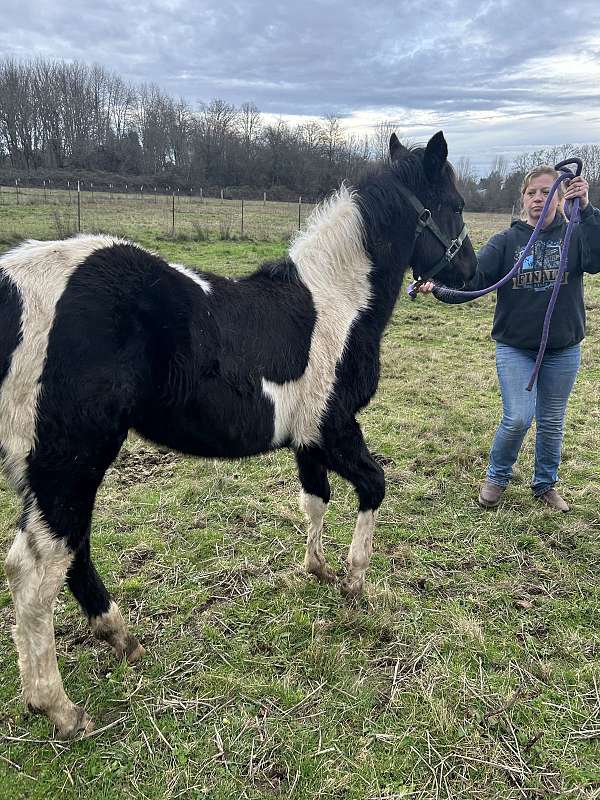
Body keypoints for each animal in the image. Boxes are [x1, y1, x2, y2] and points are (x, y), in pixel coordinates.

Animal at [0, 131, 476, 737]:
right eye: (454, 205)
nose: (472, 269)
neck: (338, 303)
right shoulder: (335, 429)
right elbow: (373, 487)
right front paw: (354, 583)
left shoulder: (308, 441)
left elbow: (315, 499)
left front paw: (317, 570)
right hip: (68, 462)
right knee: (36, 570)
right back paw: (59, 709)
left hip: (47, 471)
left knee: (68, 550)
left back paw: (119, 637)